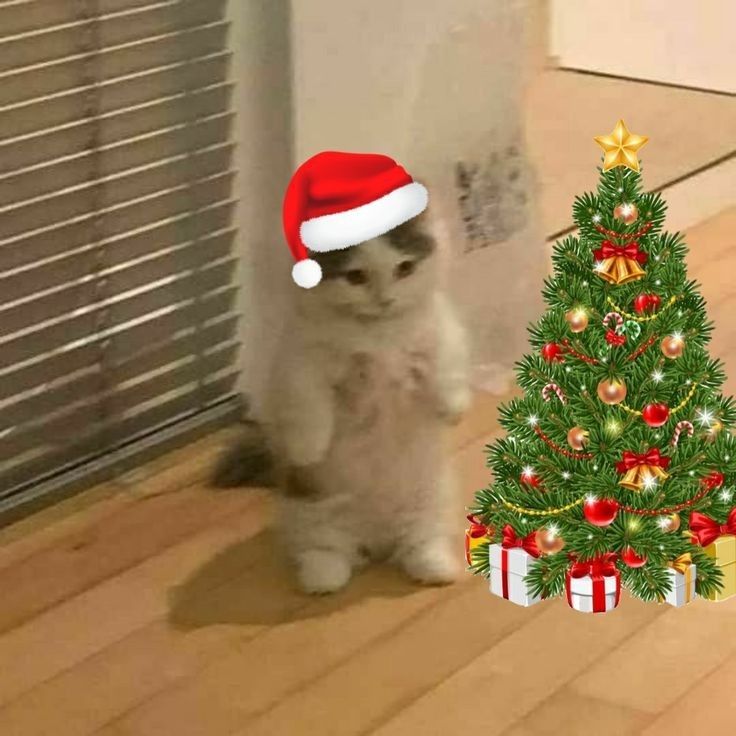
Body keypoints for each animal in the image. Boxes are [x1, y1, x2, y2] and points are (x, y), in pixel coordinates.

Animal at [218, 151, 472, 592]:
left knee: (421, 540)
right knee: (327, 552)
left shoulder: (440, 329)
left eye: (404, 269)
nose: (384, 299)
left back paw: (435, 566)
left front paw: (451, 409)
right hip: (314, 513)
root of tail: (378, 539)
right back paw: (323, 577)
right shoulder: (302, 359)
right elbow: (309, 407)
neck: (377, 334)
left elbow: (446, 366)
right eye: (355, 276)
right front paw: (309, 447)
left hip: (432, 499)